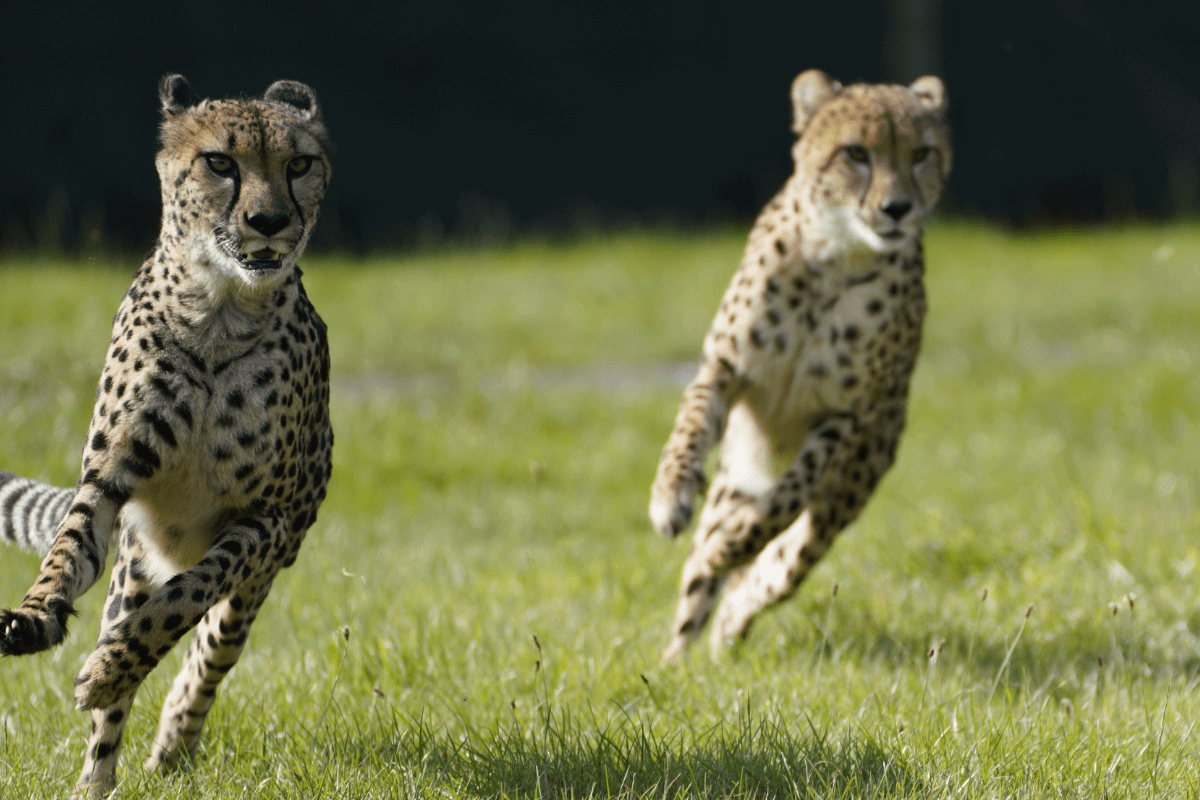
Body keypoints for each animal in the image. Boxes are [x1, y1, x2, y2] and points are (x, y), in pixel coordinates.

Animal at [0, 74, 334, 797]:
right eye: (220, 162)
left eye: (299, 164)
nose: (269, 222)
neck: (219, 309)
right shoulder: (108, 482)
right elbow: (65, 553)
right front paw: (35, 615)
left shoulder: (266, 521)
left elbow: (185, 602)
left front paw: (108, 668)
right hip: (131, 565)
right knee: (113, 709)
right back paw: (94, 782)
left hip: (263, 573)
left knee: (209, 653)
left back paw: (171, 738)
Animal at [649, 69, 952, 662]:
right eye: (856, 153)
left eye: (922, 153)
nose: (898, 208)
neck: (836, 259)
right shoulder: (723, 368)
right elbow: (688, 429)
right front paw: (670, 497)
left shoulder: (844, 417)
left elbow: (785, 502)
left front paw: (734, 548)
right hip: (734, 481)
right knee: (697, 588)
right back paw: (677, 665)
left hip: (845, 494)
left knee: (779, 568)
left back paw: (728, 621)